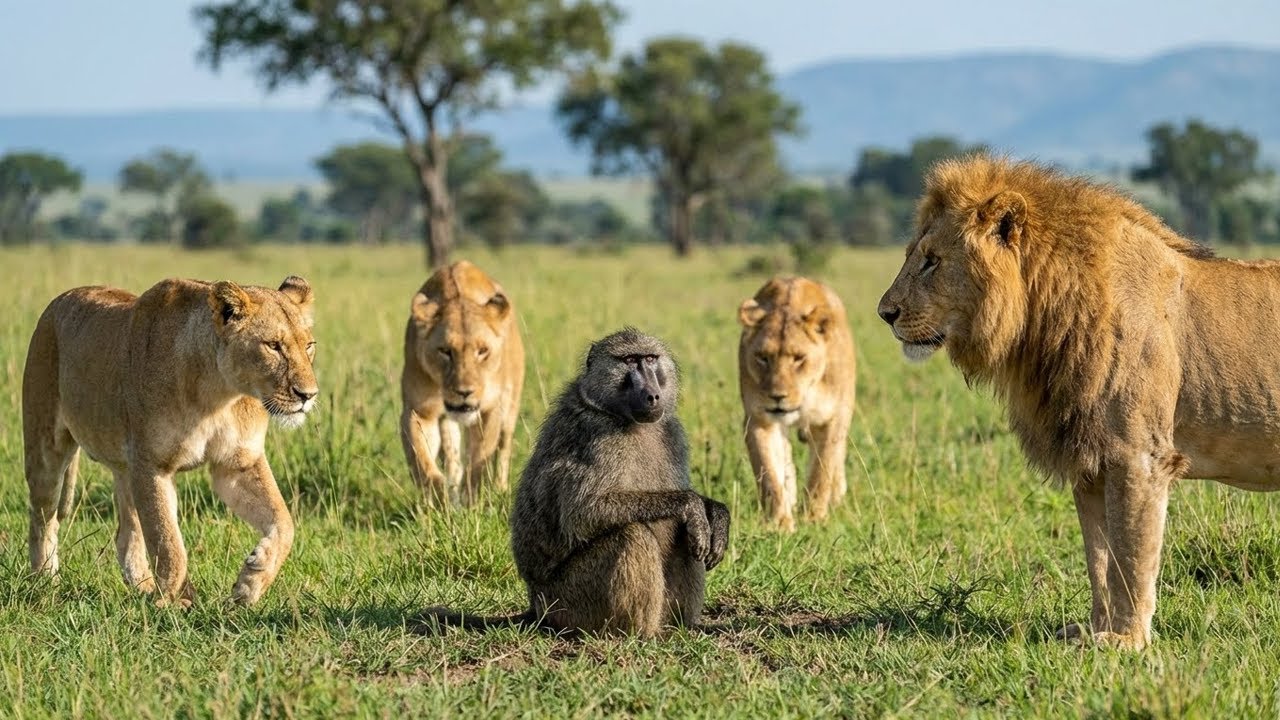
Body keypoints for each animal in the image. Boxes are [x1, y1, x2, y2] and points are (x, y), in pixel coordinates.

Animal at [23, 275, 318, 606]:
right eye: (273, 346)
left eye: (309, 346)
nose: (308, 395)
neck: (218, 395)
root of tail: (61, 299)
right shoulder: (153, 465)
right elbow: (168, 542)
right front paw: (173, 603)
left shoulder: (238, 464)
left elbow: (284, 522)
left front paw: (250, 583)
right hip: (46, 447)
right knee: (42, 518)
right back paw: (45, 582)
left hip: (127, 468)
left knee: (126, 534)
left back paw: (142, 586)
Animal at [401, 261, 525, 505]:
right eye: (445, 351)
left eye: (482, 351)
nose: (464, 392)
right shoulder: (419, 411)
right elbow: (423, 463)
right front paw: (442, 502)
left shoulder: (489, 409)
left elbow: (479, 460)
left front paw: (472, 503)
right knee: (451, 455)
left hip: (510, 405)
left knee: (504, 449)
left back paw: (500, 489)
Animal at [505, 327, 731, 637]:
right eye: (630, 361)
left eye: (650, 359)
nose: (653, 395)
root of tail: (536, 607)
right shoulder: (598, 438)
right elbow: (585, 511)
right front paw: (692, 505)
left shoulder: (672, 432)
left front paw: (717, 516)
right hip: (569, 603)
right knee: (633, 534)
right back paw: (643, 636)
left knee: (686, 535)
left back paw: (686, 628)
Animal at [739, 276, 856, 532]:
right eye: (762, 358)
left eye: (799, 358)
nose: (777, 396)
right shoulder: (759, 419)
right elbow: (769, 473)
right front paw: (780, 523)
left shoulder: (832, 418)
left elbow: (821, 471)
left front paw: (813, 519)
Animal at [872, 155, 1280, 649]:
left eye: (931, 261)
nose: (884, 313)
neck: (1041, 318)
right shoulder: (1091, 464)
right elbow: (1100, 559)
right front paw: (1091, 631)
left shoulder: (1139, 456)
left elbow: (1132, 557)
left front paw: (1127, 641)